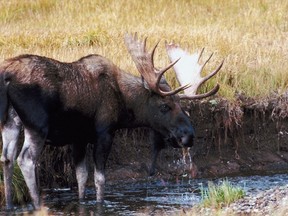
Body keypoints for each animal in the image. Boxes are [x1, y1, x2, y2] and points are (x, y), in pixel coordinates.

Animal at [0, 33, 223, 209]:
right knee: (26, 159)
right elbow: (99, 179)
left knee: (7, 158)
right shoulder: (104, 133)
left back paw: (10, 205)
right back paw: (38, 205)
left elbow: (81, 177)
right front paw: (100, 203)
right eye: (164, 106)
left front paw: (82, 202)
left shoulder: (79, 138)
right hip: (37, 124)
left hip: (10, 121)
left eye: (181, 105)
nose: (188, 136)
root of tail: (6, 75)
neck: (123, 103)